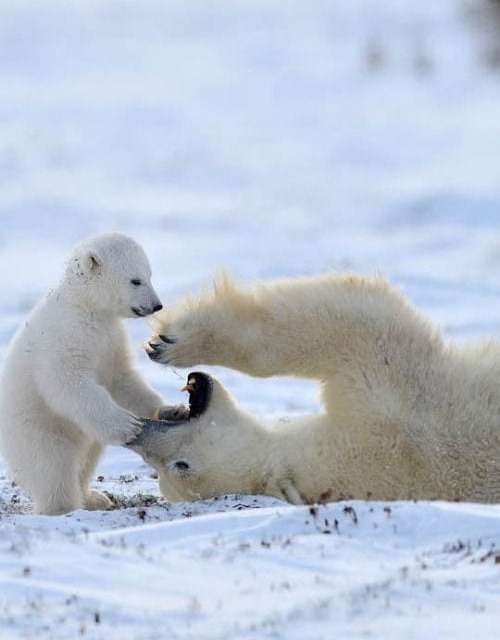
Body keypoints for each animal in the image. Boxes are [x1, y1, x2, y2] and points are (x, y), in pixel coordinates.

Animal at [0, 234, 165, 516]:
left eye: (150, 275)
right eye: (135, 280)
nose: (157, 305)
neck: (84, 305)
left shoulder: (110, 341)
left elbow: (122, 381)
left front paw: (169, 409)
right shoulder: (66, 337)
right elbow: (69, 384)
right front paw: (128, 426)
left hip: (82, 437)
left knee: (86, 460)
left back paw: (94, 498)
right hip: (35, 428)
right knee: (52, 468)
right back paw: (62, 507)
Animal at [138, 276, 500, 504]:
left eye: (181, 465)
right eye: (164, 473)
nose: (138, 436)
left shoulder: (392, 408)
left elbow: (357, 321)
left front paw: (170, 342)